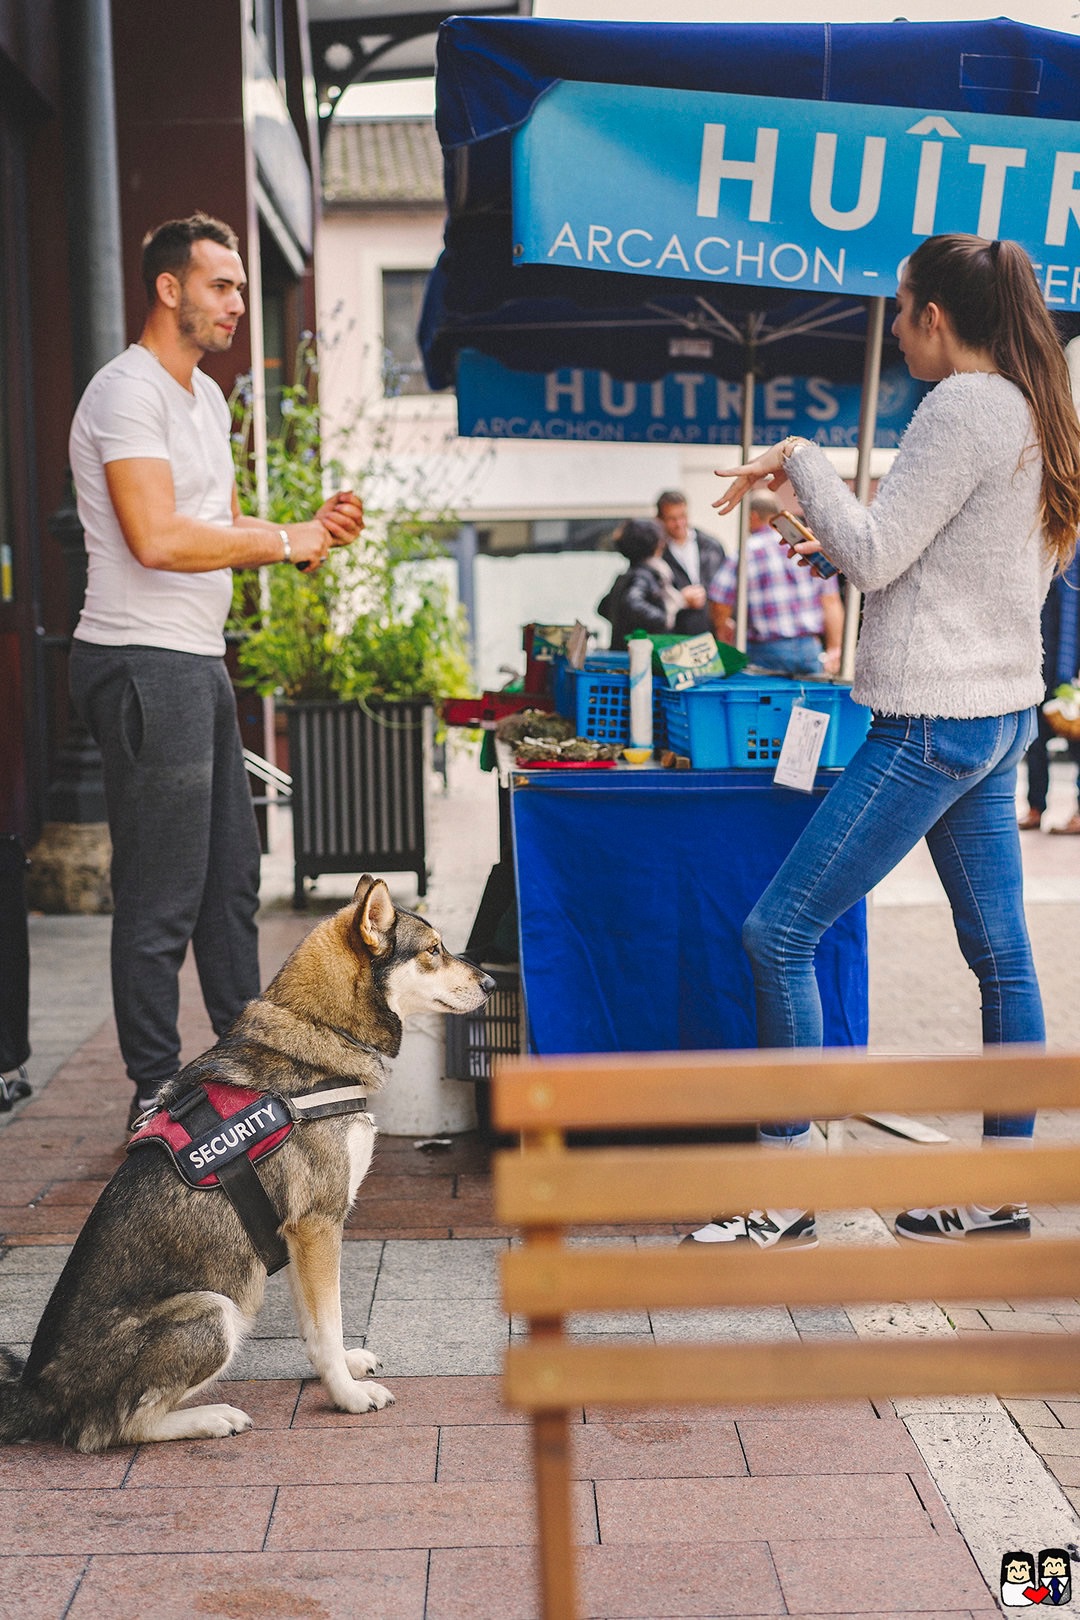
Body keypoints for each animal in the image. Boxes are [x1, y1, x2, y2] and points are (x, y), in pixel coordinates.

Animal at [0, 881, 495, 1451]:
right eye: (434, 950)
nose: (492, 981)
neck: (322, 1030)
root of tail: (36, 1393)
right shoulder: (318, 1224)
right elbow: (328, 1324)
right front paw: (347, 1396)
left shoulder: (297, 1235)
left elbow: (315, 1324)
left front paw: (342, 1369)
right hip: (215, 1310)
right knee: (113, 1428)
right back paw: (211, 1417)